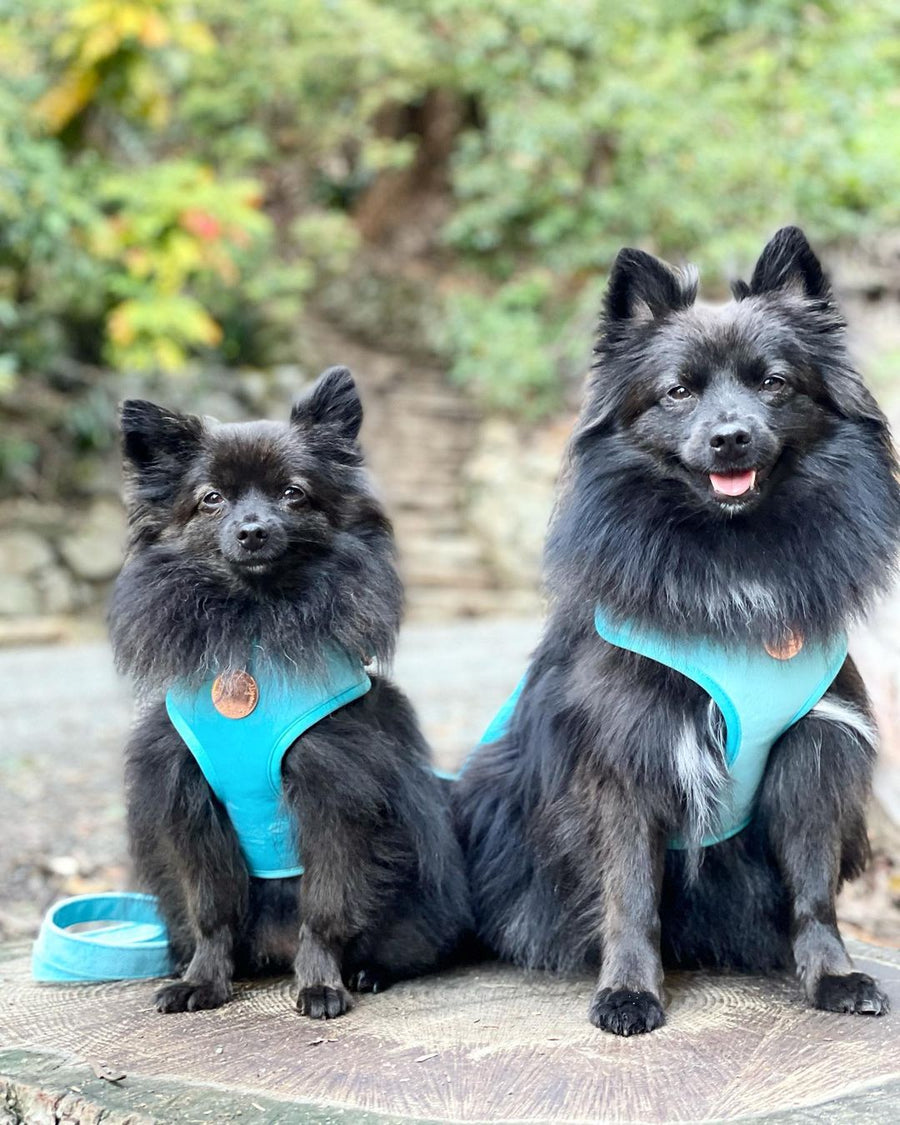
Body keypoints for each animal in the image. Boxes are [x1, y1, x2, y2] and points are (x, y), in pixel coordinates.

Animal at [110, 369, 470, 1021]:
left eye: (293, 495)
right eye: (211, 499)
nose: (252, 529)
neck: (253, 623)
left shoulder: (333, 793)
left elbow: (326, 909)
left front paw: (321, 983)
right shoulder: (188, 797)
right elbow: (210, 910)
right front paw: (204, 980)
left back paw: (366, 970)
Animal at [456, 228, 900, 1035]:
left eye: (774, 384)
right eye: (677, 392)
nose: (730, 438)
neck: (730, 555)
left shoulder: (813, 749)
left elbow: (814, 888)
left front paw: (832, 976)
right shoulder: (628, 757)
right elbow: (631, 893)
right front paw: (630, 991)